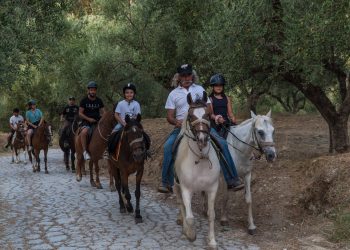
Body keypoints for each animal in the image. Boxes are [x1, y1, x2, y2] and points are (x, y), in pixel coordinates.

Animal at [175, 92, 221, 248]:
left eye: (207, 114)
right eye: (190, 116)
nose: (202, 139)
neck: (200, 159)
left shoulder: (212, 188)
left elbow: (211, 214)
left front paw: (212, 241)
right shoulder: (185, 189)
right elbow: (190, 217)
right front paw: (191, 234)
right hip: (176, 186)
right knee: (182, 206)